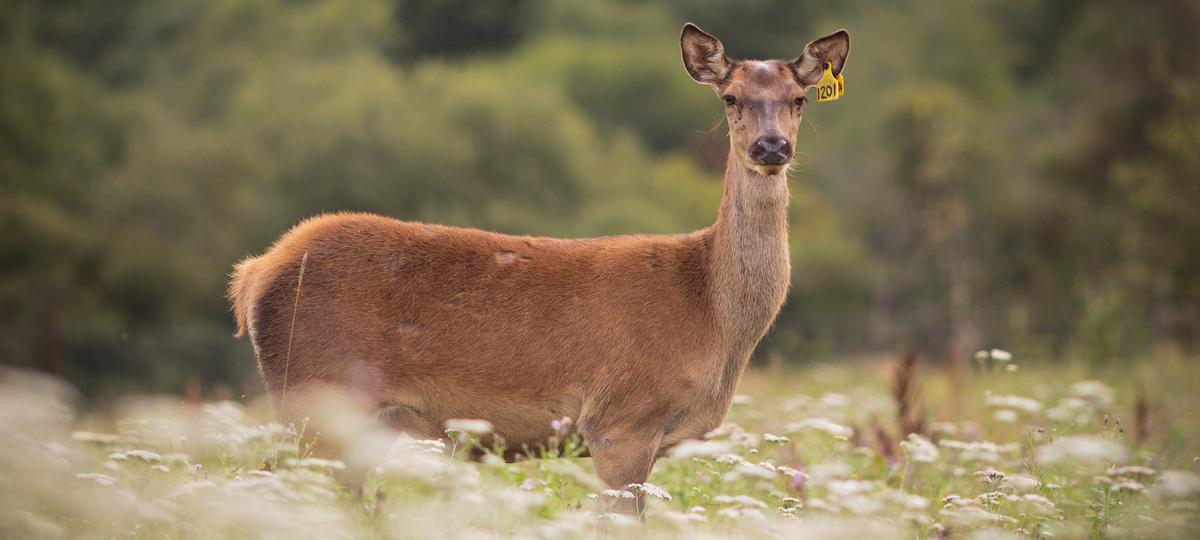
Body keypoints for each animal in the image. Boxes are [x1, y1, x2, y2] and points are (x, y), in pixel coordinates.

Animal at [228, 23, 849, 513]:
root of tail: (254, 274)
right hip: (314, 392)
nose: (772, 147)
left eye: (800, 98)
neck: (712, 318)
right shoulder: (619, 420)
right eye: (731, 97)